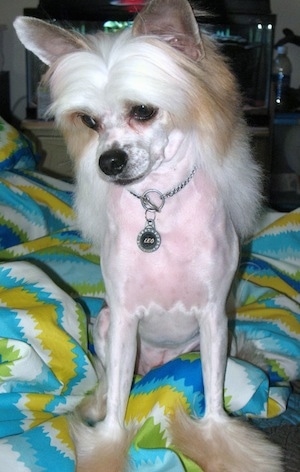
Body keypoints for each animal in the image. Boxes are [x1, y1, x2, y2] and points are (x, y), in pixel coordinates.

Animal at [13, 1, 282, 470]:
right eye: (89, 121)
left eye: (143, 110)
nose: (108, 162)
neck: (158, 203)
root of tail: (156, 365)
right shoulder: (124, 319)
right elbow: (118, 405)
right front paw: (107, 443)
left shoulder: (213, 318)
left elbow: (213, 397)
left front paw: (220, 443)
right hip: (105, 325)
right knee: (109, 381)